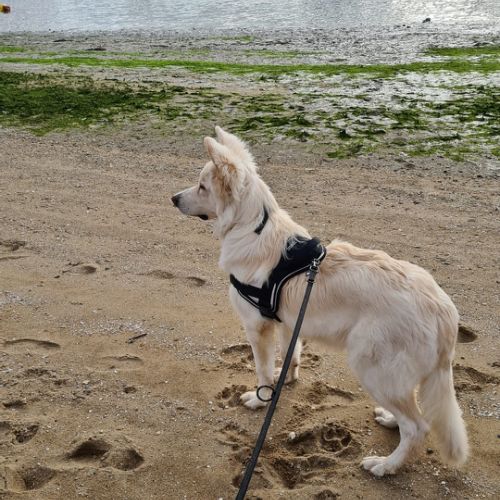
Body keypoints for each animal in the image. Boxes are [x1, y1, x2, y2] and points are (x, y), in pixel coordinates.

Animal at [171, 126, 468, 476]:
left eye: (202, 186)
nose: (173, 199)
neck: (253, 227)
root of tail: (444, 311)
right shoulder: (287, 322)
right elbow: (289, 358)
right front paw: (283, 384)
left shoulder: (257, 326)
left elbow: (262, 370)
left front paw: (260, 399)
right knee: (411, 413)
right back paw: (390, 420)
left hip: (372, 367)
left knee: (417, 427)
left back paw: (386, 465)